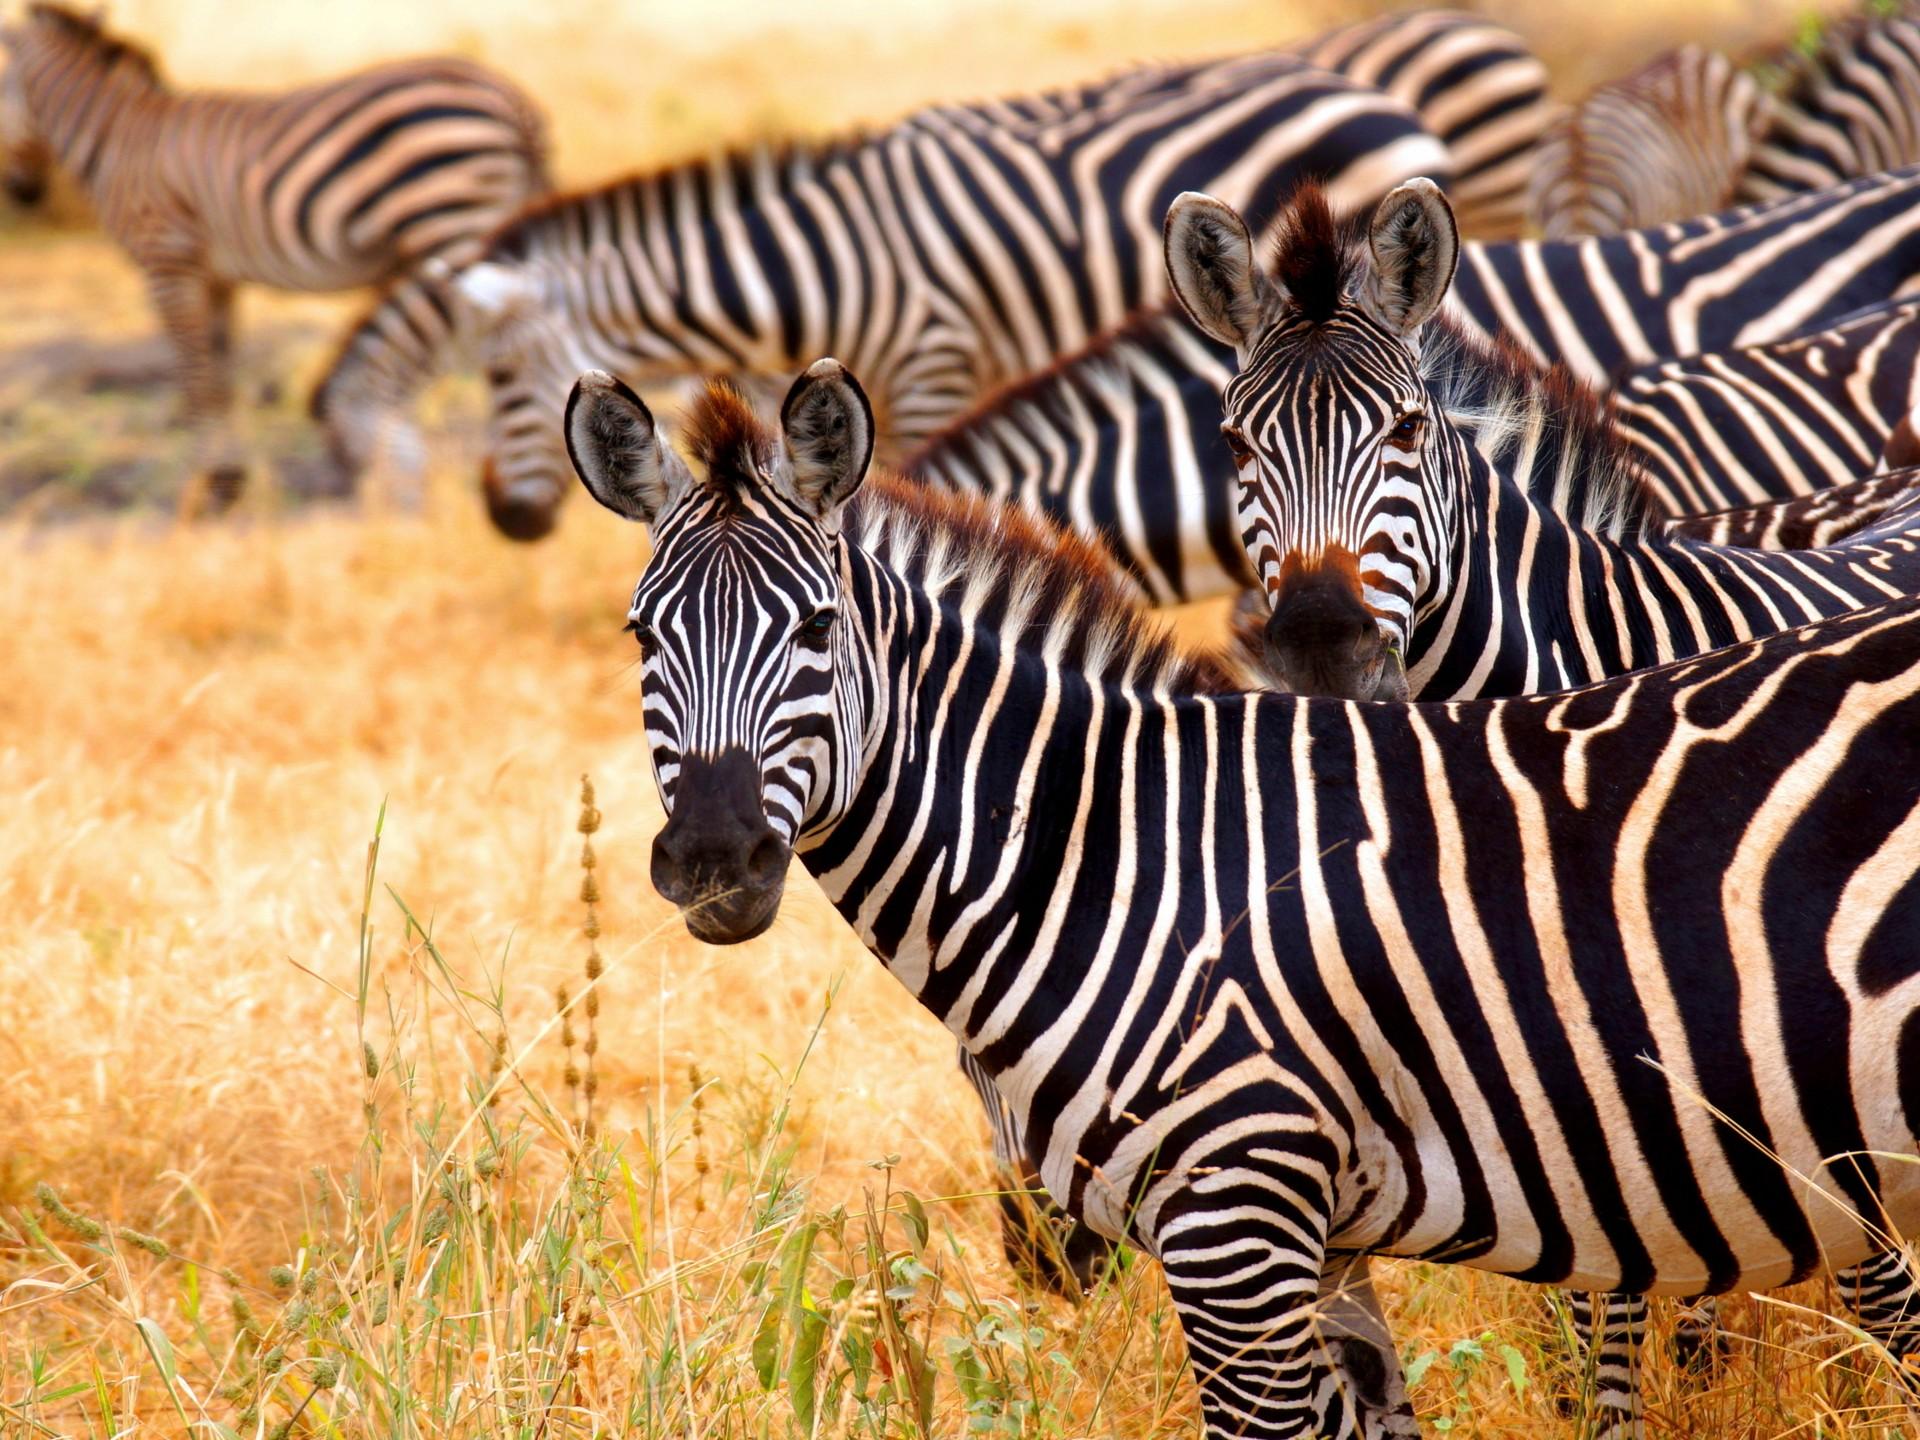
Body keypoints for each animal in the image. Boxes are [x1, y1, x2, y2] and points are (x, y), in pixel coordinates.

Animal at [0, 3, 548, 504]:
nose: (23, 192)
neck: (115, 134)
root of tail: (512, 99)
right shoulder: (215, 276)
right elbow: (219, 373)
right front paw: (231, 477)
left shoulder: (167, 260)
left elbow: (195, 374)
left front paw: (211, 485)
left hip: (452, 224)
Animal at [563, 358, 1920, 1440]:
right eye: (639, 637)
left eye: (815, 629)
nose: (719, 857)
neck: (1127, 863)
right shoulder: (1323, 1246)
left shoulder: (1237, 1218)